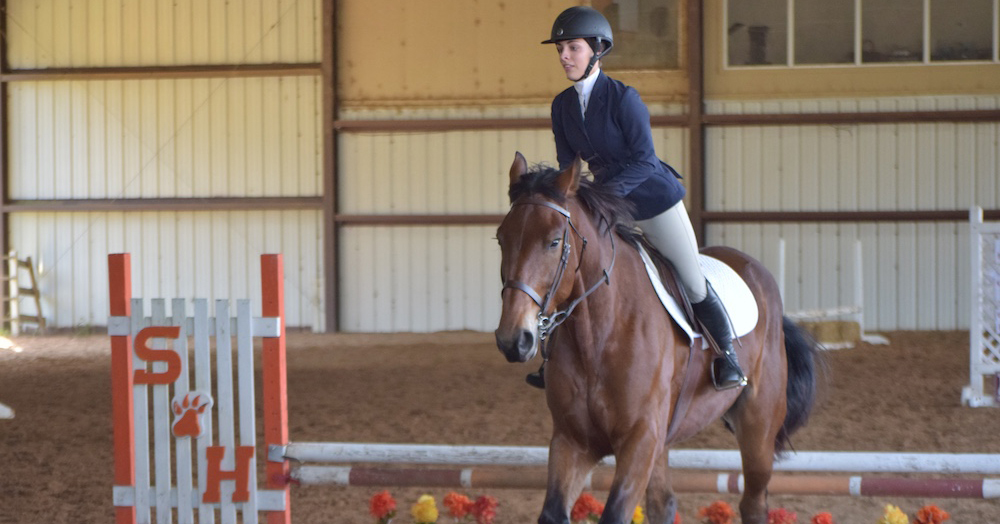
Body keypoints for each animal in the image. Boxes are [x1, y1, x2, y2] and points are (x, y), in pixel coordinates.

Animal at [494, 152, 820, 524]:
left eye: (553, 242)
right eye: (501, 239)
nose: (513, 339)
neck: (599, 335)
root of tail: (756, 271)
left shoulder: (640, 439)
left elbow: (615, 513)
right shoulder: (573, 440)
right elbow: (553, 512)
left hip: (758, 427)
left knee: (752, 503)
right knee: (663, 502)